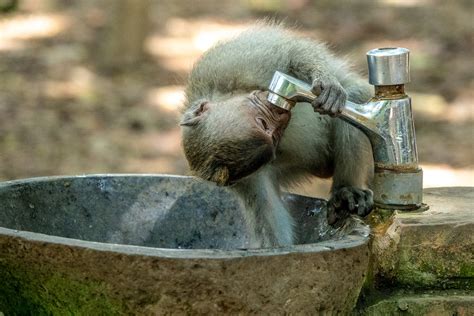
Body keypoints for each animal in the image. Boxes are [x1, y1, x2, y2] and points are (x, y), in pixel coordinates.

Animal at [180, 23, 372, 248]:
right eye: (270, 133)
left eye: (262, 122)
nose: (280, 114)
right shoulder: (249, 179)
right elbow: (272, 232)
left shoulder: (234, 65)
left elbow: (293, 54)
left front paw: (326, 82)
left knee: (354, 95)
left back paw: (346, 189)